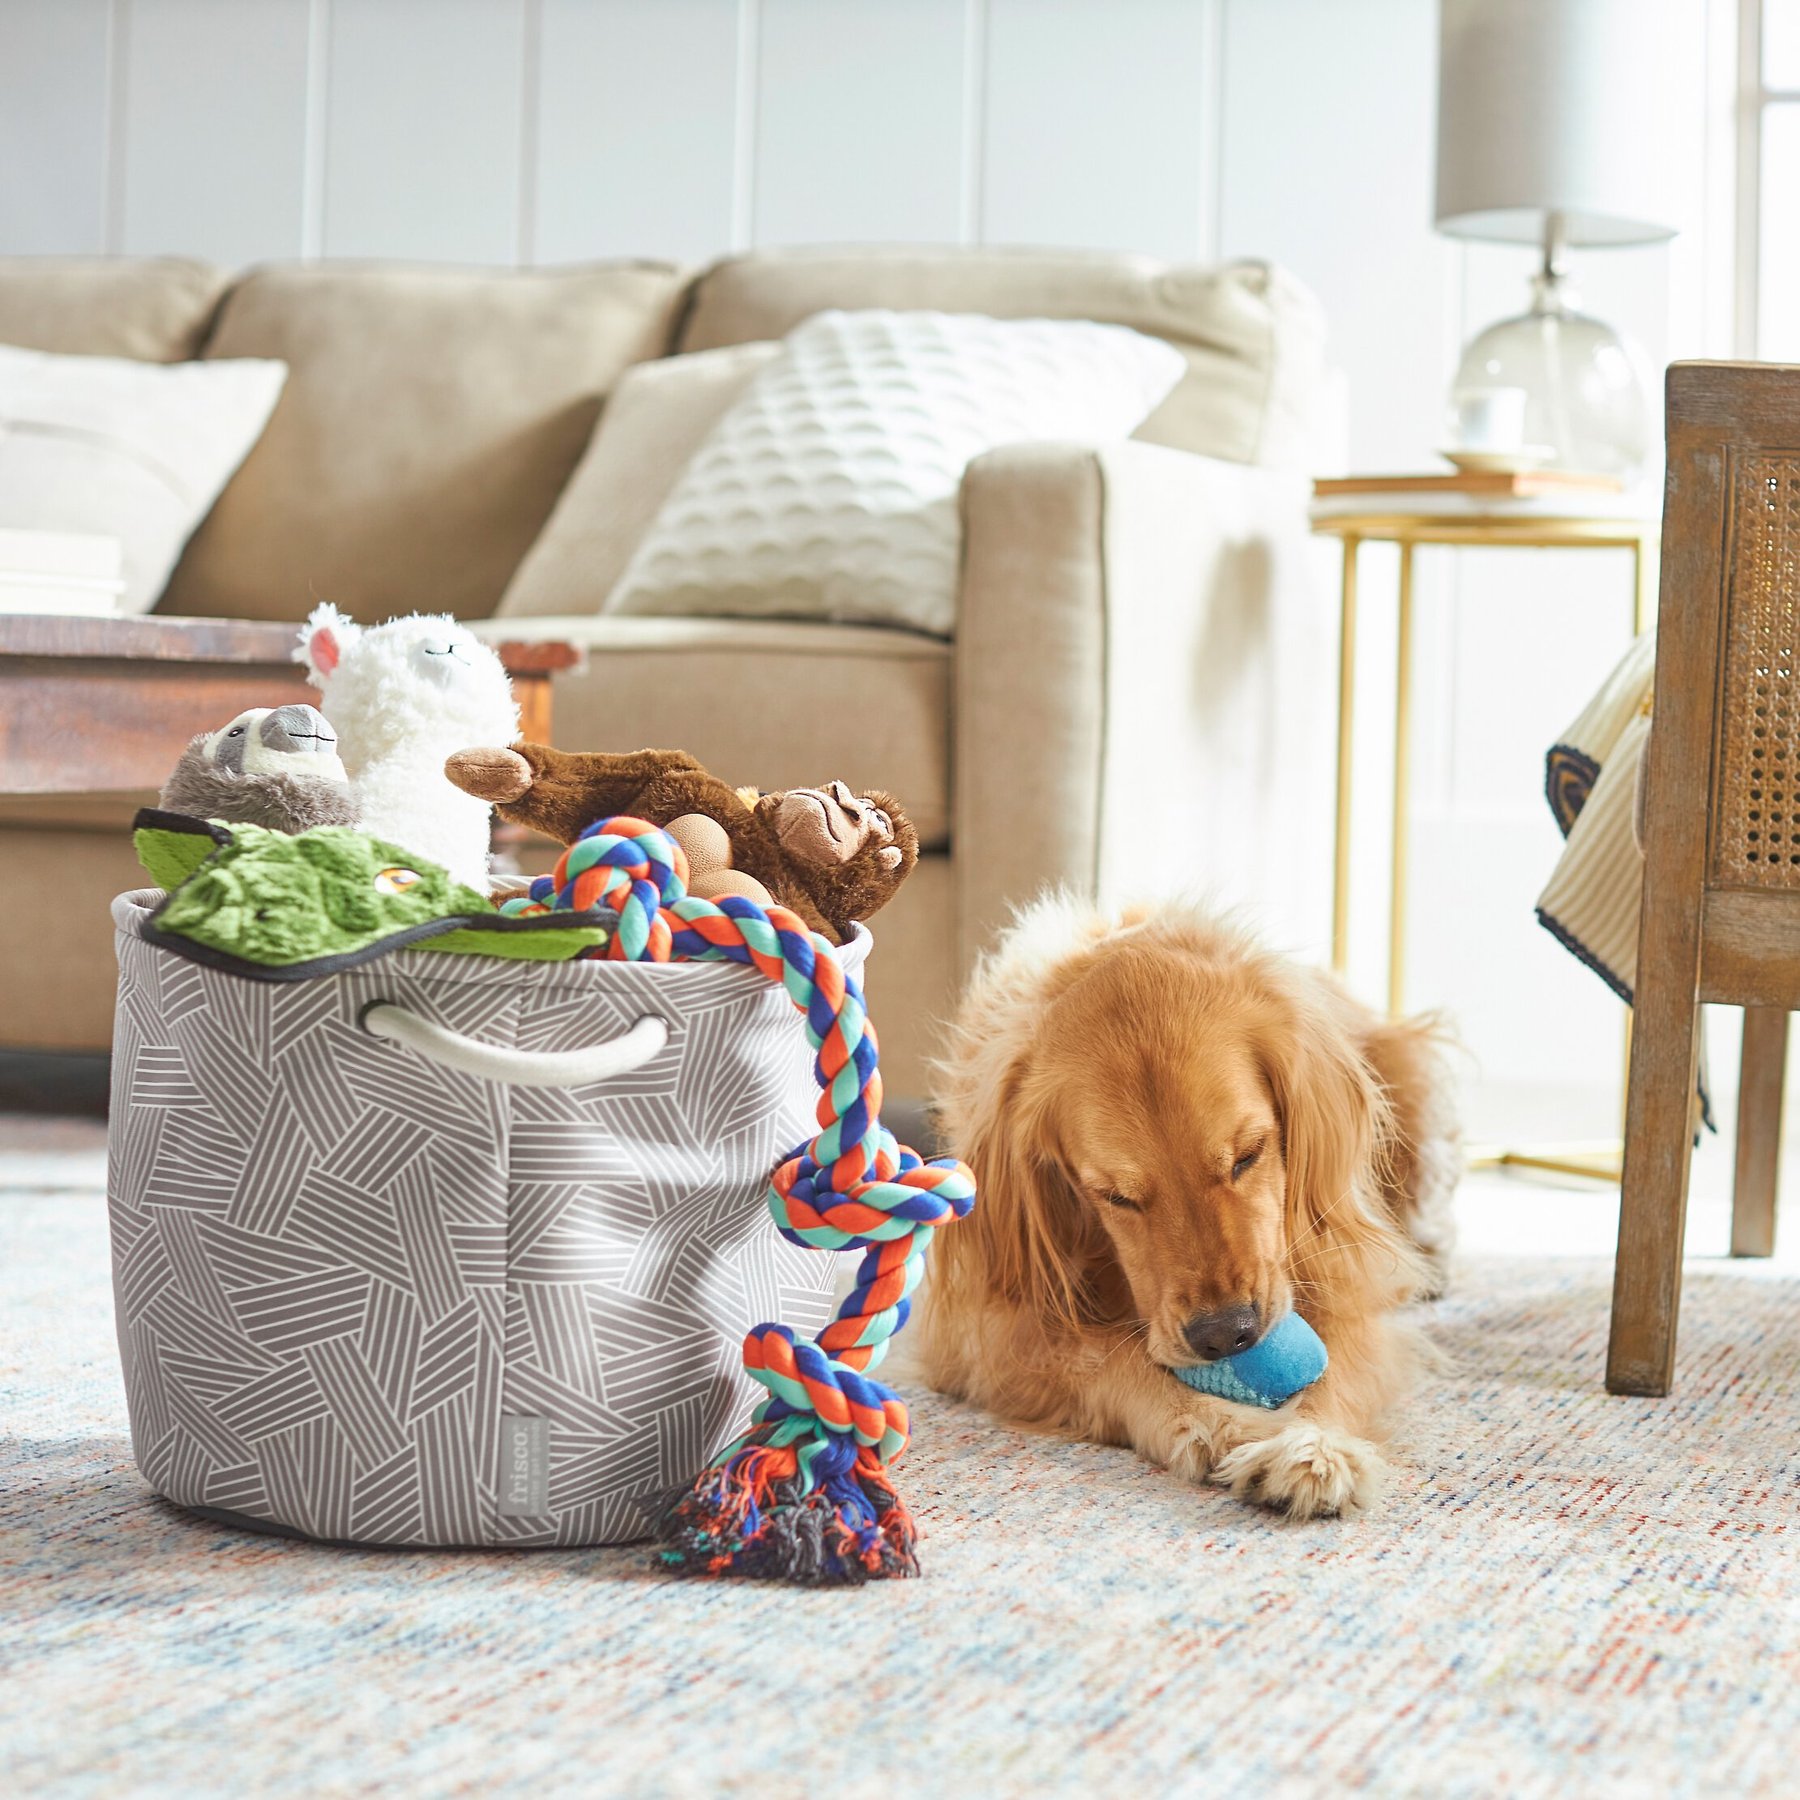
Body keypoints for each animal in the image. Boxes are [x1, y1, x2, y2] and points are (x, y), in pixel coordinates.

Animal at [921, 900, 1454, 1519]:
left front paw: (1312, 1445)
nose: (1225, 1337)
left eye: (1249, 1155)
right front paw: (1225, 1424)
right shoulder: (988, 1326)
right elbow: (1105, 1361)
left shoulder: (1340, 1267)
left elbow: (1336, 1363)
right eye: (1117, 1197)